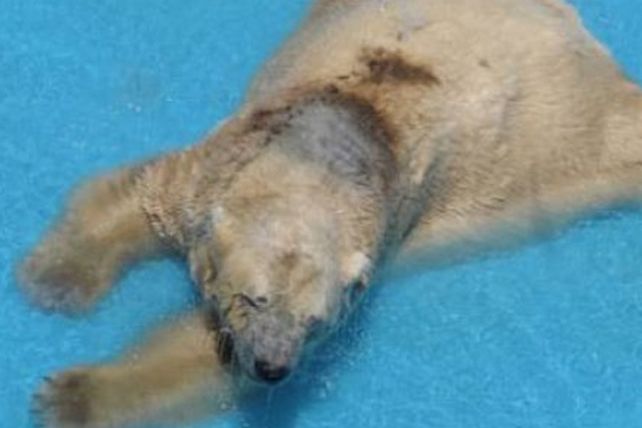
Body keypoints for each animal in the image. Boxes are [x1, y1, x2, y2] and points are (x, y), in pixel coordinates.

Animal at [19, 0, 642, 426]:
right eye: (254, 297)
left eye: (315, 322)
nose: (274, 367)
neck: (339, 145)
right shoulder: (218, 162)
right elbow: (142, 197)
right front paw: (55, 281)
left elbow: (199, 352)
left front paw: (69, 398)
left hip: (568, 149)